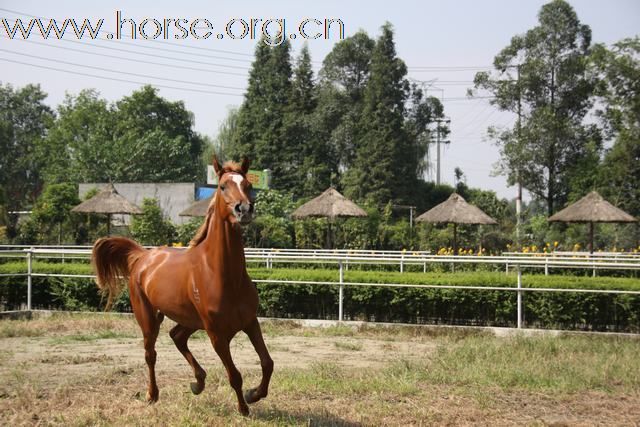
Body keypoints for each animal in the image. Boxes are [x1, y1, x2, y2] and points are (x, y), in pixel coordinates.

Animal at [91, 159, 272, 416]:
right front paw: (244, 407)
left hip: (189, 319)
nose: (244, 209)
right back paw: (152, 394)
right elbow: (235, 375)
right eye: (223, 187)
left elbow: (267, 362)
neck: (224, 275)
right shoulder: (217, 336)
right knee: (151, 354)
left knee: (176, 336)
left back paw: (198, 382)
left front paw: (254, 394)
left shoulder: (250, 322)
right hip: (148, 319)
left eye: (248, 185)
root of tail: (142, 256)